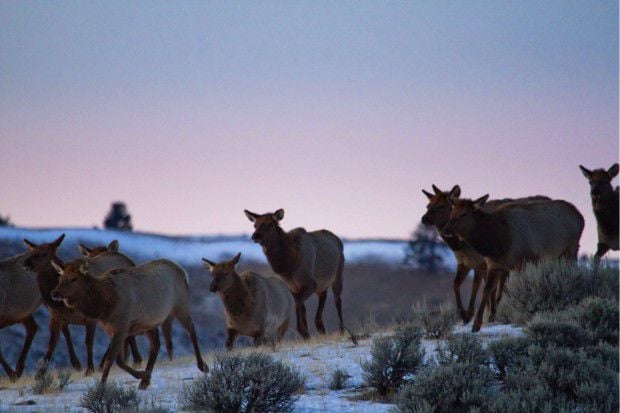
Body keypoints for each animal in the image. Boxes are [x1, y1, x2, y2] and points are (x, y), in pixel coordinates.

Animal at [50, 256, 206, 388]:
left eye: (74, 278)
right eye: (60, 277)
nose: (55, 292)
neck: (105, 305)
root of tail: (182, 271)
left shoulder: (122, 326)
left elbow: (110, 359)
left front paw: (101, 386)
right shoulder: (113, 329)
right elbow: (119, 360)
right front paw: (143, 375)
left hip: (181, 305)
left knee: (191, 329)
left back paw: (203, 366)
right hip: (148, 322)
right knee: (156, 343)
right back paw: (145, 381)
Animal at [243, 208, 348, 340]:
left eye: (270, 224)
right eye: (255, 225)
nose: (255, 236)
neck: (289, 266)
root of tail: (338, 240)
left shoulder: (310, 283)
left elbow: (297, 302)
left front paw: (302, 330)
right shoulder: (294, 286)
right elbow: (301, 306)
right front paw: (306, 333)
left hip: (338, 274)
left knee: (337, 300)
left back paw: (342, 329)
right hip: (322, 283)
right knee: (323, 296)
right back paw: (321, 327)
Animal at [422, 183, 548, 322]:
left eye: (442, 206)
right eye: (428, 205)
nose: (424, 219)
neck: (460, 246)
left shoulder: (482, 263)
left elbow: (477, 287)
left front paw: (472, 314)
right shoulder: (465, 263)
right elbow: (456, 284)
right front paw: (465, 315)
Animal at [444, 196, 584, 332]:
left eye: (464, 213)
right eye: (452, 211)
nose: (446, 229)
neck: (497, 244)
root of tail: (581, 217)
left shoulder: (524, 261)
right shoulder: (494, 265)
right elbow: (487, 290)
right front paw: (477, 324)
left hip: (571, 249)